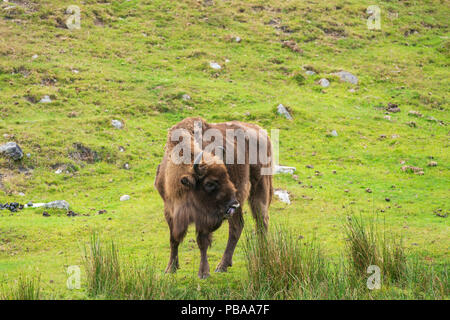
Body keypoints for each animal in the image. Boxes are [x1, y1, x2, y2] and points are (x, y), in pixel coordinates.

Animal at [155, 117, 272, 278]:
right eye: (209, 183)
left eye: (227, 176)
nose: (233, 205)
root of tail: (261, 132)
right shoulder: (169, 210)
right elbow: (174, 239)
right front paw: (170, 268)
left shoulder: (204, 217)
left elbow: (202, 241)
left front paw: (203, 273)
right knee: (241, 226)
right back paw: (225, 265)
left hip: (258, 188)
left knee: (260, 221)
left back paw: (256, 257)